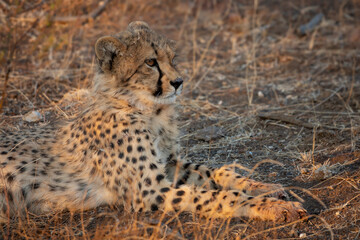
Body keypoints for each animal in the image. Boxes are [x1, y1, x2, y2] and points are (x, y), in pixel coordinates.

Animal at [0, 21, 306, 222]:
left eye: (173, 58)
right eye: (150, 63)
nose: (179, 82)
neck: (148, 111)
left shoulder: (169, 164)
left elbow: (217, 173)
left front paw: (266, 187)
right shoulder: (150, 190)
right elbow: (217, 196)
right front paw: (271, 206)